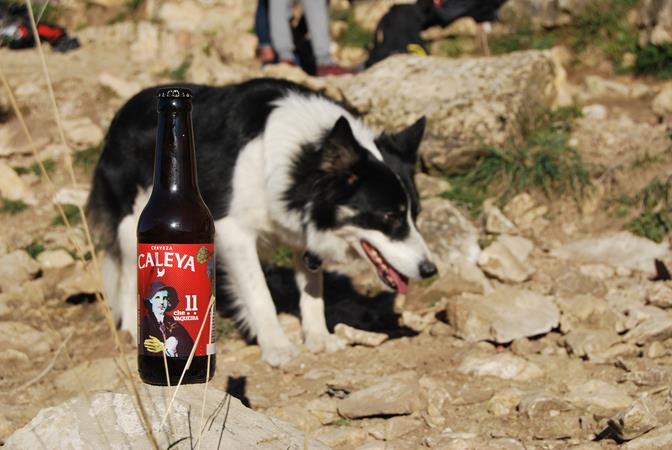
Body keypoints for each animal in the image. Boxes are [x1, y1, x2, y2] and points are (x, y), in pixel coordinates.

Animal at [88, 78, 436, 366]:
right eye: (390, 216)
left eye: (415, 214)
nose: (430, 270)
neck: (304, 160)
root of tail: (122, 114)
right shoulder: (232, 232)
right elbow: (259, 296)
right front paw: (277, 347)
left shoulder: (301, 234)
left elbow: (313, 290)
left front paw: (319, 337)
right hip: (131, 220)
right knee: (130, 272)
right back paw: (131, 330)